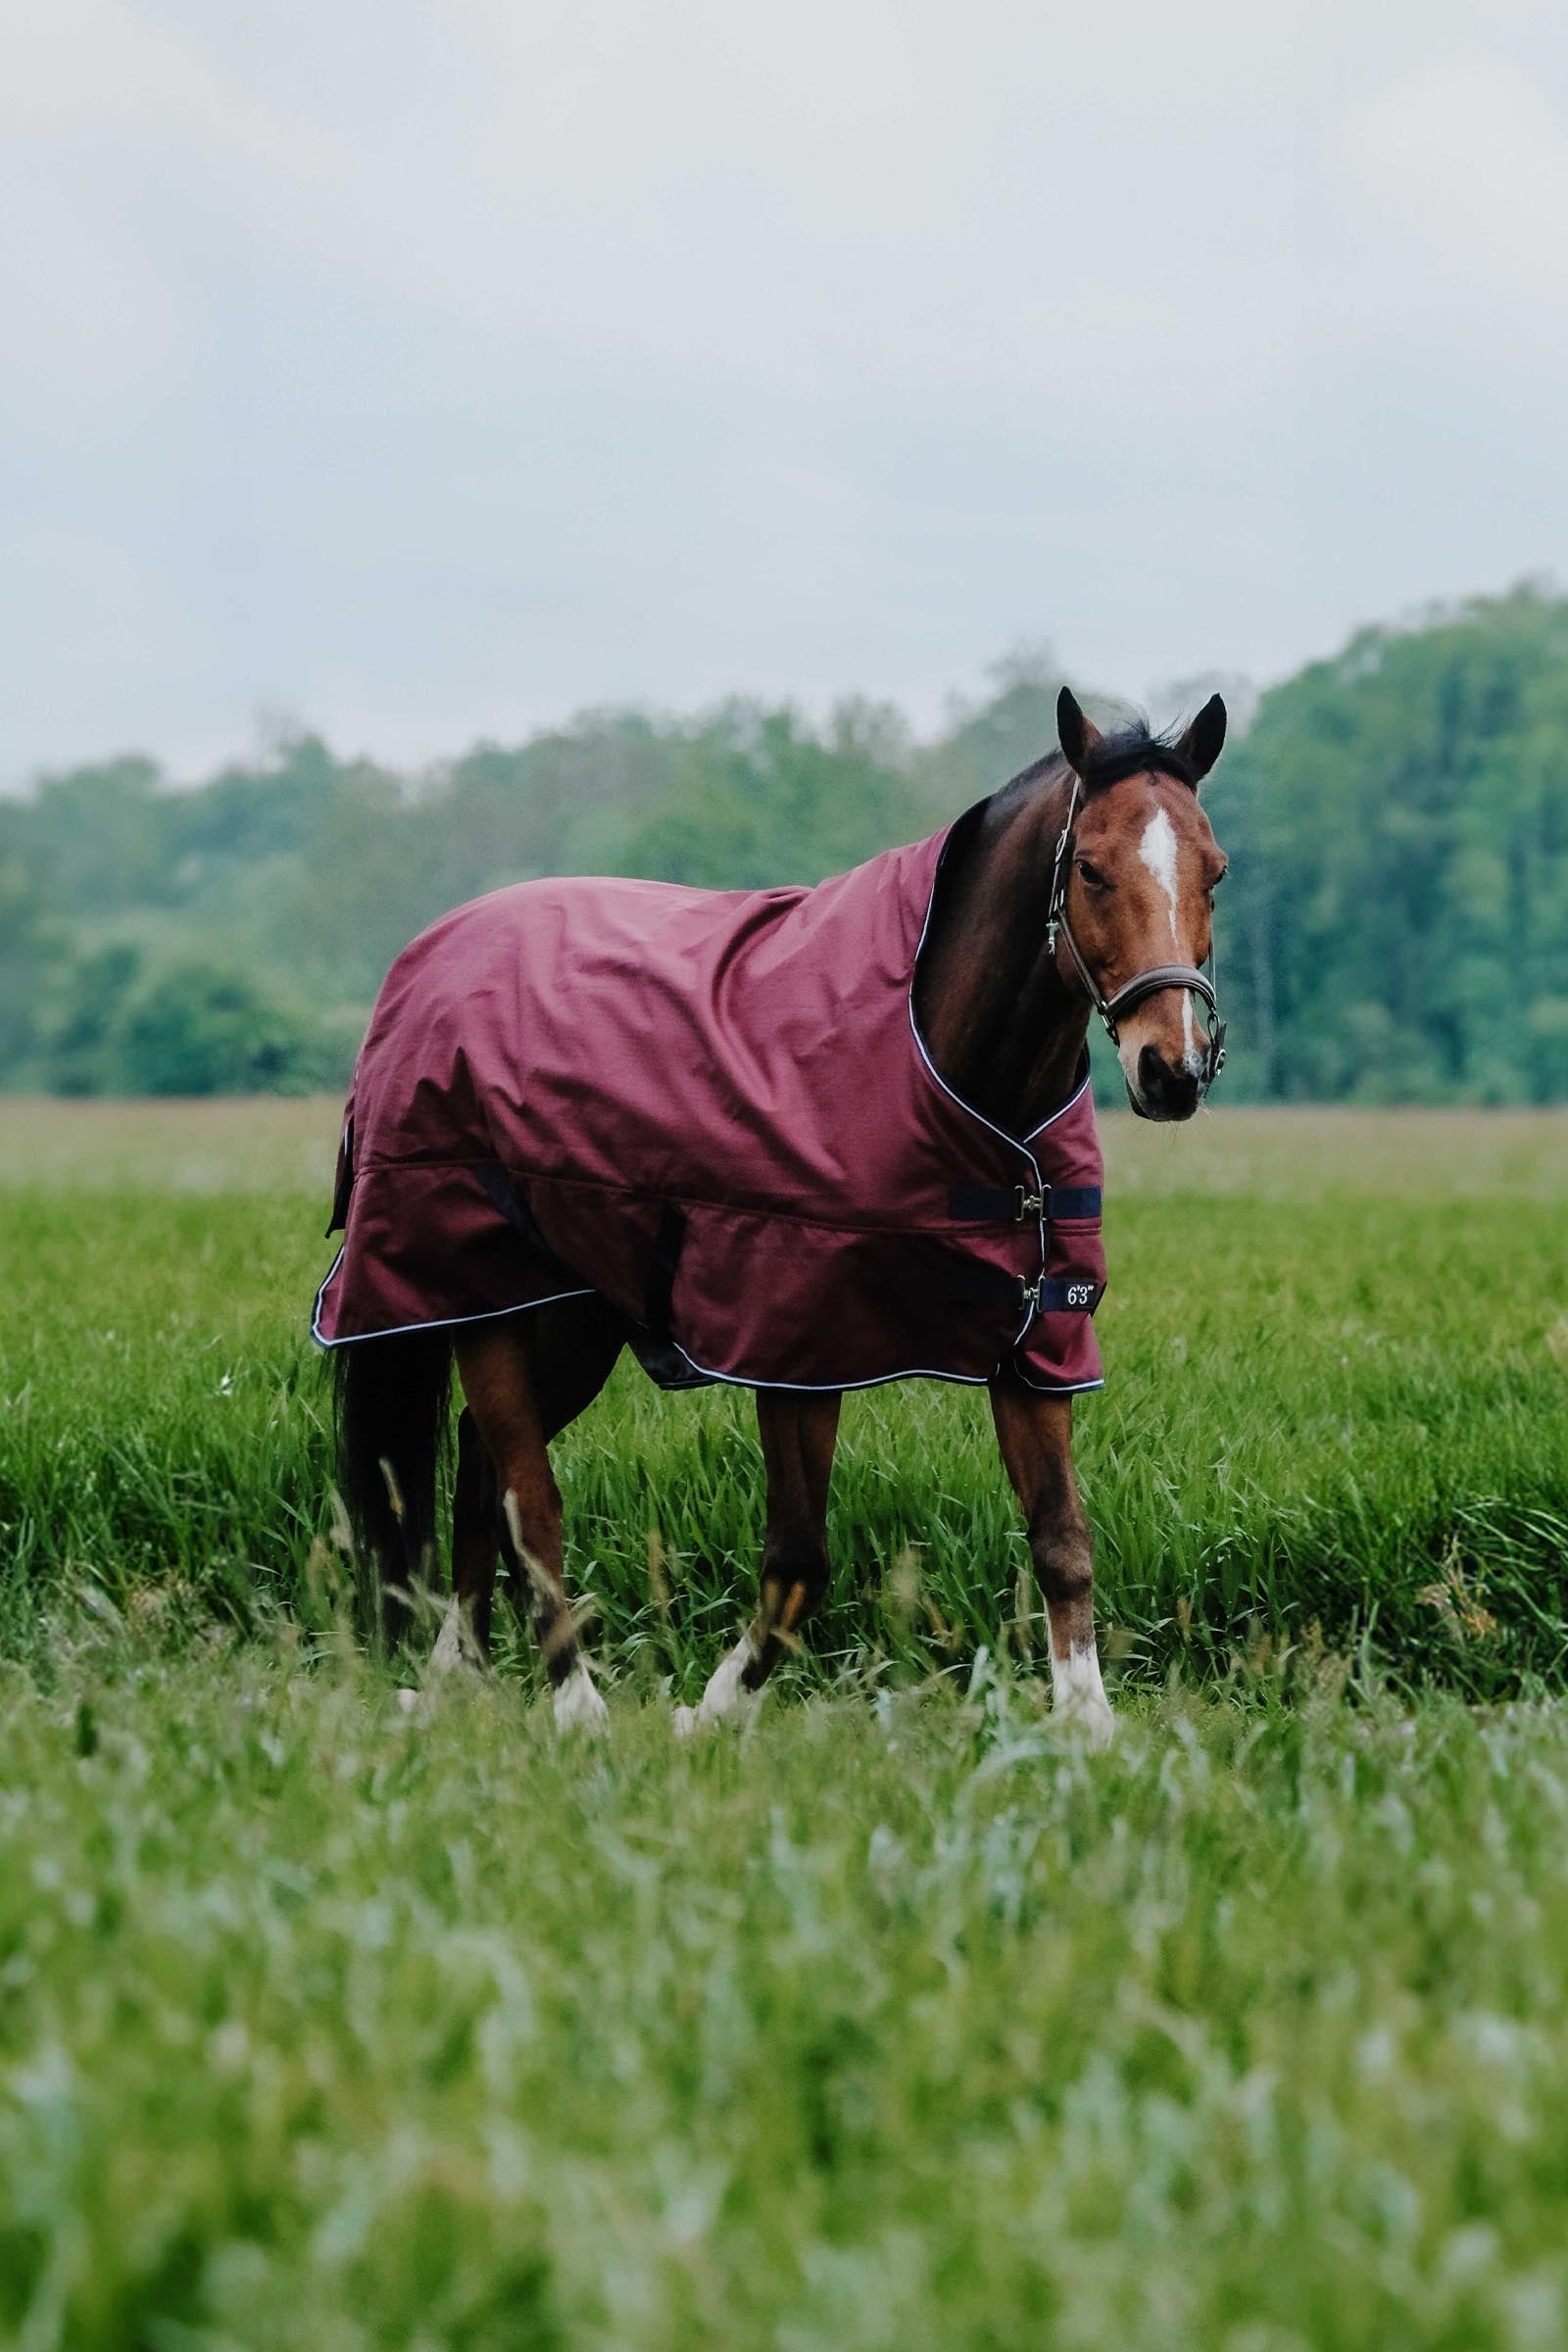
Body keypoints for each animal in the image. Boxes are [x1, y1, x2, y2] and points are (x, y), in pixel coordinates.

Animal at [322, 686, 1230, 1744]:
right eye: (1089, 866)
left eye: (1215, 870)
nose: (1171, 1070)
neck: (943, 1067)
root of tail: (427, 957)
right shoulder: (798, 1348)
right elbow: (798, 1561)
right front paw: (708, 1713)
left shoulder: (1035, 1340)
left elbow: (1061, 1538)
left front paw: (1088, 1726)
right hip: (480, 1294)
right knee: (523, 1494)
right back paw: (575, 1704)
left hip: (570, 1316)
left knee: (476, 1467)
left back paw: (451, 1680)